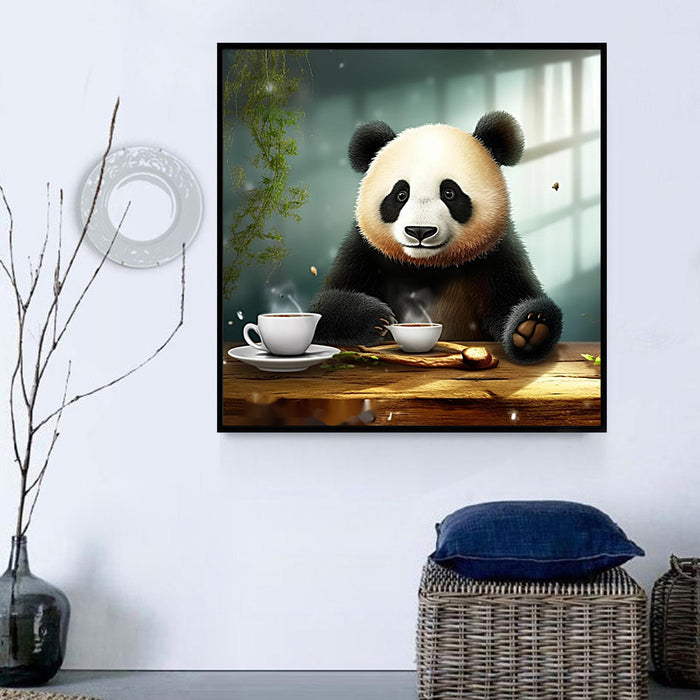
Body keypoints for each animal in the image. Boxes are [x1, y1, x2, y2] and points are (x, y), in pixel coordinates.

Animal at [310, 111, 562, 364]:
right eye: (401, 194)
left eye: (449, 193)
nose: (419, 231)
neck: (428, 264)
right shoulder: (366, 250)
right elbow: (324, 307)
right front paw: (377, 320)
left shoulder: (496, 253)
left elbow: (512, 299)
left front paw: (531, 329)